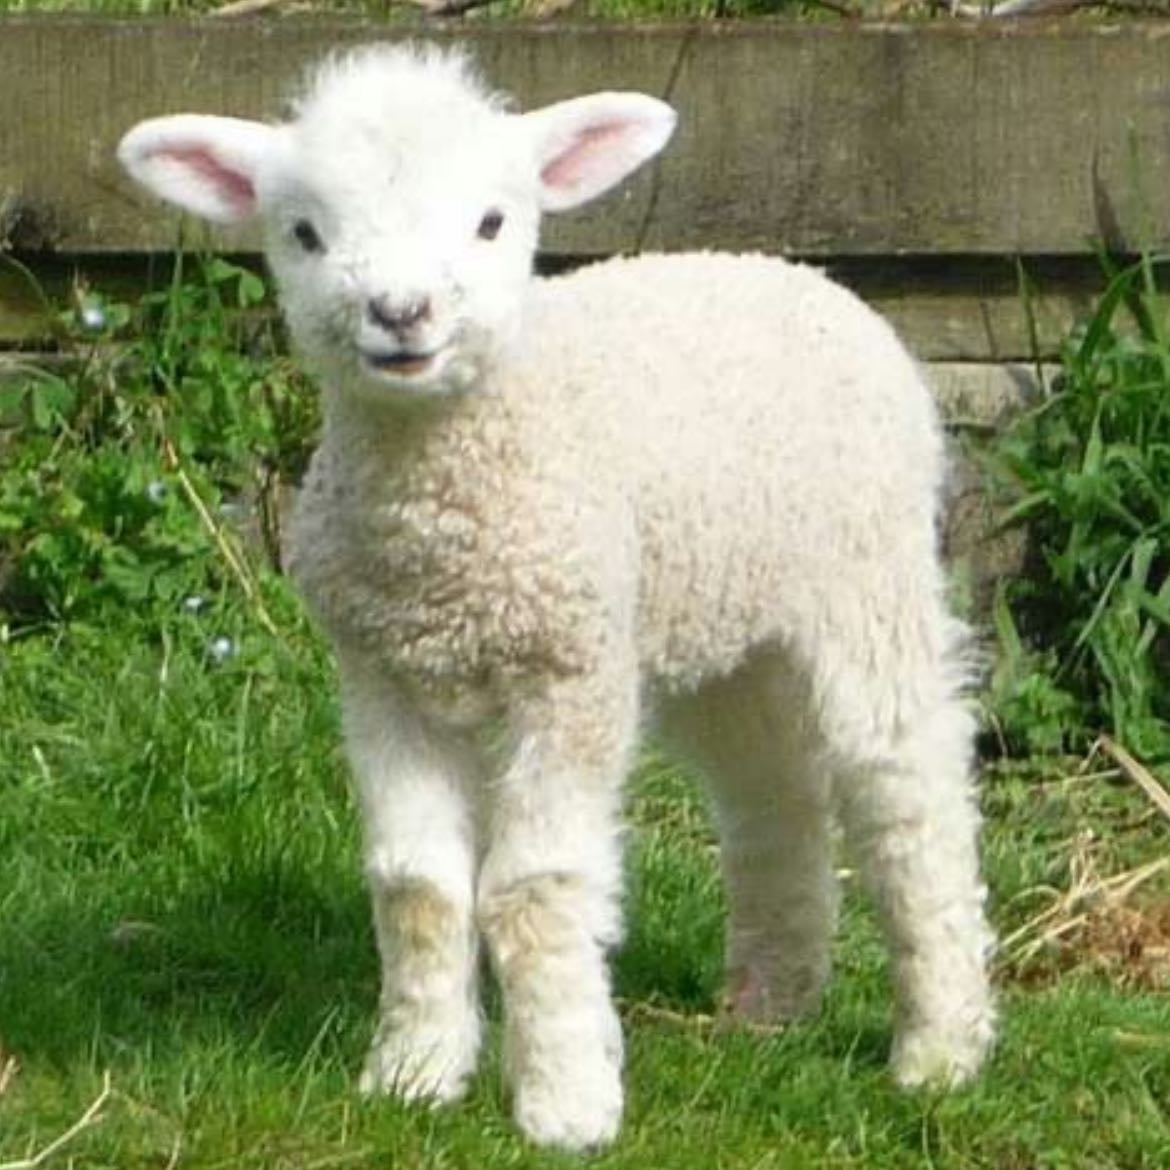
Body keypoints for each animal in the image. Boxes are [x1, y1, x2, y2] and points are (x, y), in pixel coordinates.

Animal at [117, 42, 996, 1150]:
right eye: (306, 232)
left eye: (493, 221)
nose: (401, 315)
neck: (445, 527)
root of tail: (790, 271)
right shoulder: (382, 676)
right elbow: (417, 885)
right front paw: (412, 1074)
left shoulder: (567, 672)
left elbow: (535, 890)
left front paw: (566, 1104)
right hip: (722, 622)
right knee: (771, 794)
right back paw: (769, 1006)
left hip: (866, 576)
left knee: (908, 785)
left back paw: (941, 1048)